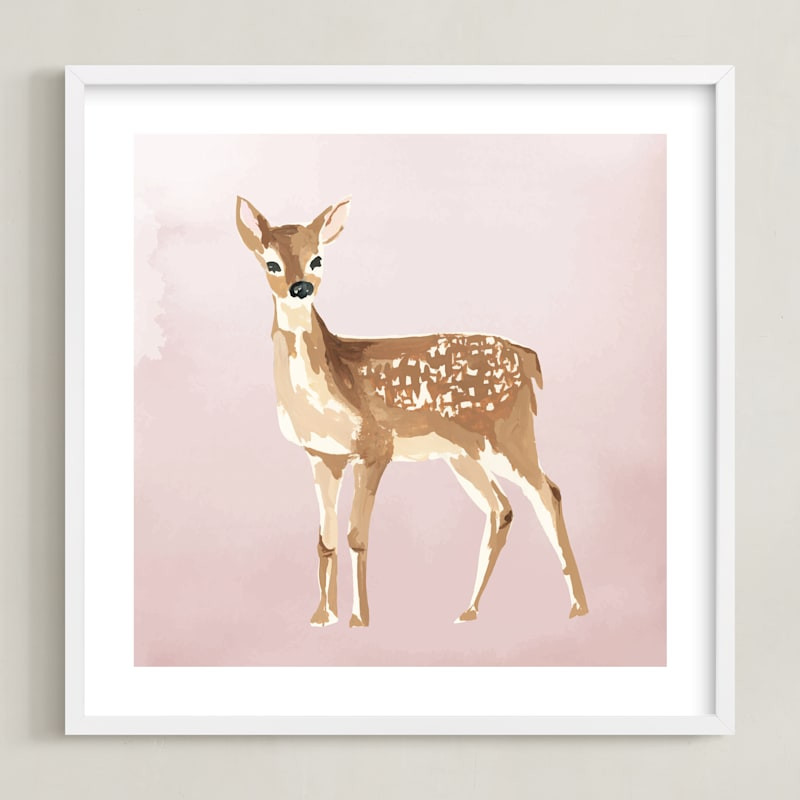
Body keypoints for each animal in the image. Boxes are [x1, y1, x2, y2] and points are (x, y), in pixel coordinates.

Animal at [235, 195, 588, 628]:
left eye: (318, 259)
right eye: (271, 263)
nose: (300, 288)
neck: (332, 380)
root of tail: (528, 359)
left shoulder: (375, 447)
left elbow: (356, 536)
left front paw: (359, 619)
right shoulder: (322, 455)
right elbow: (325, 540)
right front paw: (322, 616)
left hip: (508, 434)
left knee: (547, 492)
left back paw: (578, 607)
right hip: (464, 454)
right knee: (501, 508)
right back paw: (468, 610)